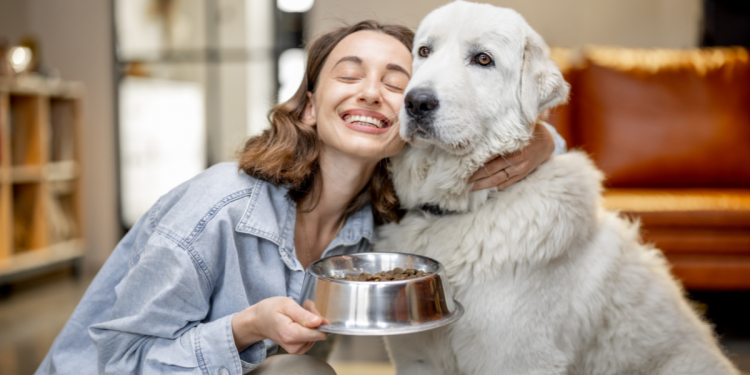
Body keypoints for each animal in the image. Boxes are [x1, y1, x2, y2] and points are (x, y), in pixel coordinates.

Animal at [378, 1, 744, 374]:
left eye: (483, 59)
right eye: (425, 51)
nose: (417, 102)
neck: (465, 207)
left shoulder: (514, 359)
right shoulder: (418, 358)